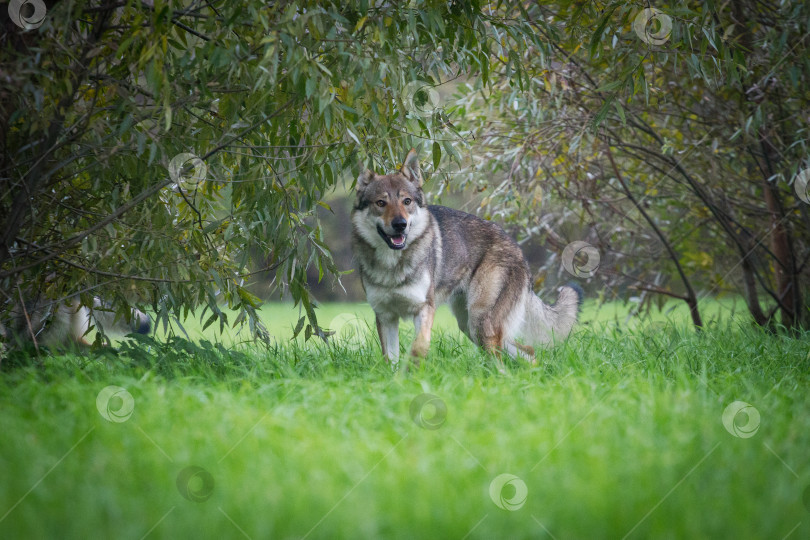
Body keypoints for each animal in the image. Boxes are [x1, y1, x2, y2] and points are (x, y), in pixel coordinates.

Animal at [348, 150, 580, 364]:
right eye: (380, 203)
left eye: (407, 201)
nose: (400, 224)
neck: (392, 265)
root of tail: (517, 248)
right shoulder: (386, 317)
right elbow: (391, 360)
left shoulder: (424, 310)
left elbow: (419, 347)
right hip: (470, 326)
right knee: (528, 352)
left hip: (480, 323)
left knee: (506, 357)